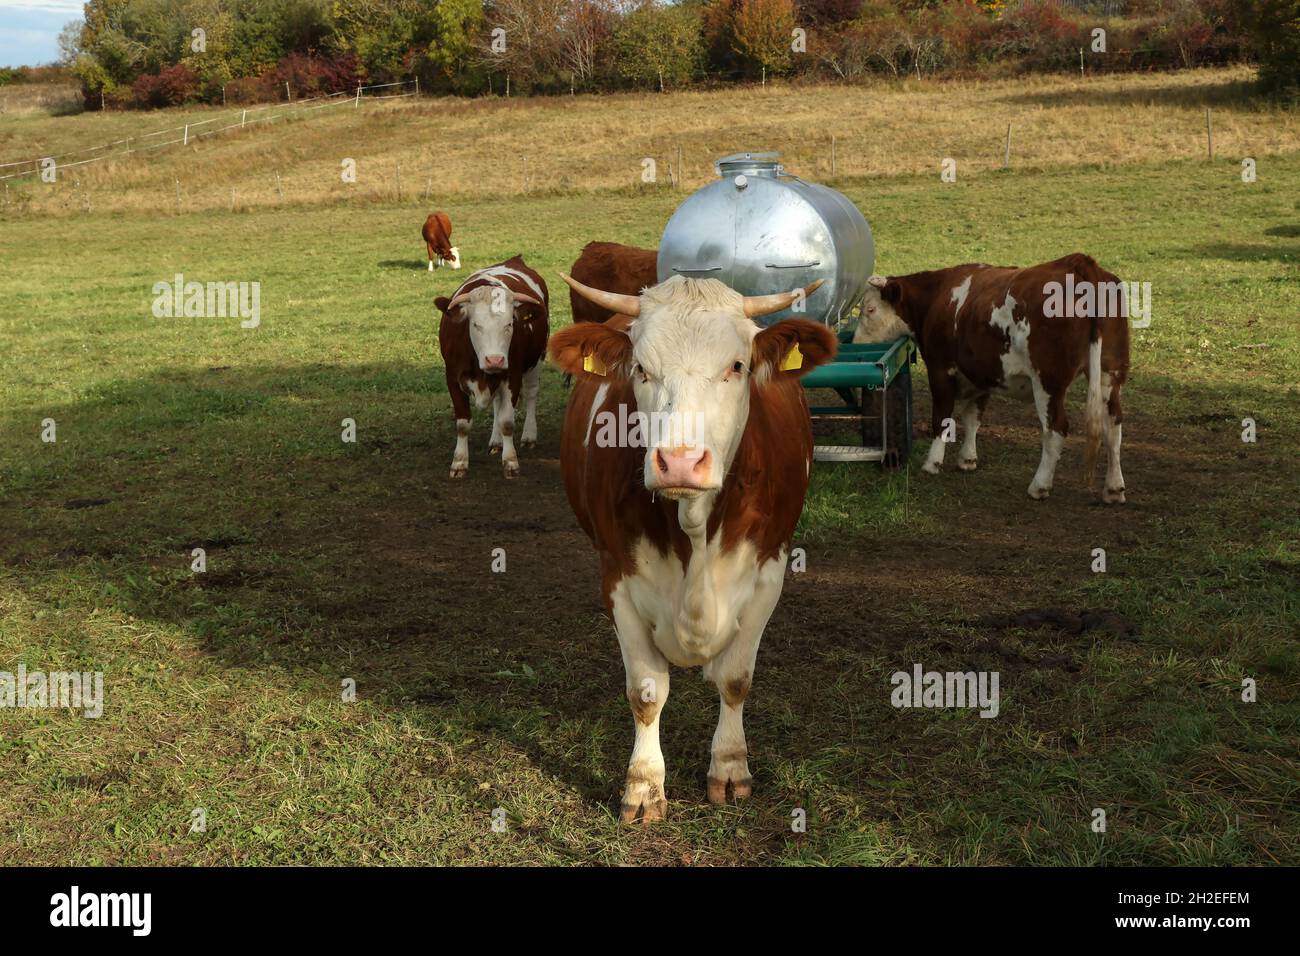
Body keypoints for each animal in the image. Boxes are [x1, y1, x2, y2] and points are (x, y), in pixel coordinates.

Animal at [435, 256, 549, 478]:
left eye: (509, 324)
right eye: (476, 325)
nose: (494, 360)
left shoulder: (512, 377)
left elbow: (507, 422)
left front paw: (510, 462)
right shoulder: (452, 378)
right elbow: (463, 424)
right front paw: (459, 462)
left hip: (537, 359)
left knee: (531, 394)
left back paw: (529, 435)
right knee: (497, 403)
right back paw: (496, 441)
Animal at [549, 272, 836, 822]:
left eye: (737, 366)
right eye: (640, 368)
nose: (680, 462)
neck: (695, 528)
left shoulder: (769, 572)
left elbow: (735, 679)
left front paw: (729, 767)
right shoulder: (616, 579)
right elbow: (646, 692)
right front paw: (643, 786)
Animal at [853, 253, 1130, 503]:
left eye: (870, 309)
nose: (856, 345)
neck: (938, 297)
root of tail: (1079, 264)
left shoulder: (940, 369)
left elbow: (942, 417)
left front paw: (933, 462)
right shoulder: (982, 373)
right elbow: (973, 417)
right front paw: (967, 458)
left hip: (1048, 383)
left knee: (1056, 429)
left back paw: (1039, 486)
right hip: (1109, 375)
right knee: (1113, 427)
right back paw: (1114, 488)